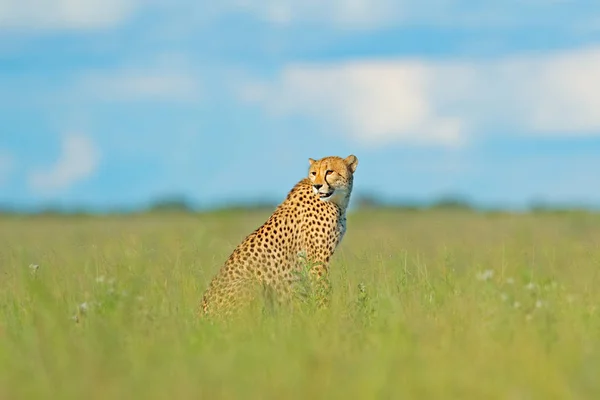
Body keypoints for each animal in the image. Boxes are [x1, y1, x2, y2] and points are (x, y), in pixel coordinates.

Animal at [202, 155, 358, 318]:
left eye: (329, 171)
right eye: (314, 173)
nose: (317, 185)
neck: (338, 202)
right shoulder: (317, 258)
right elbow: (322, 289)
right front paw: (325, 315)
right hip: (253, 283)